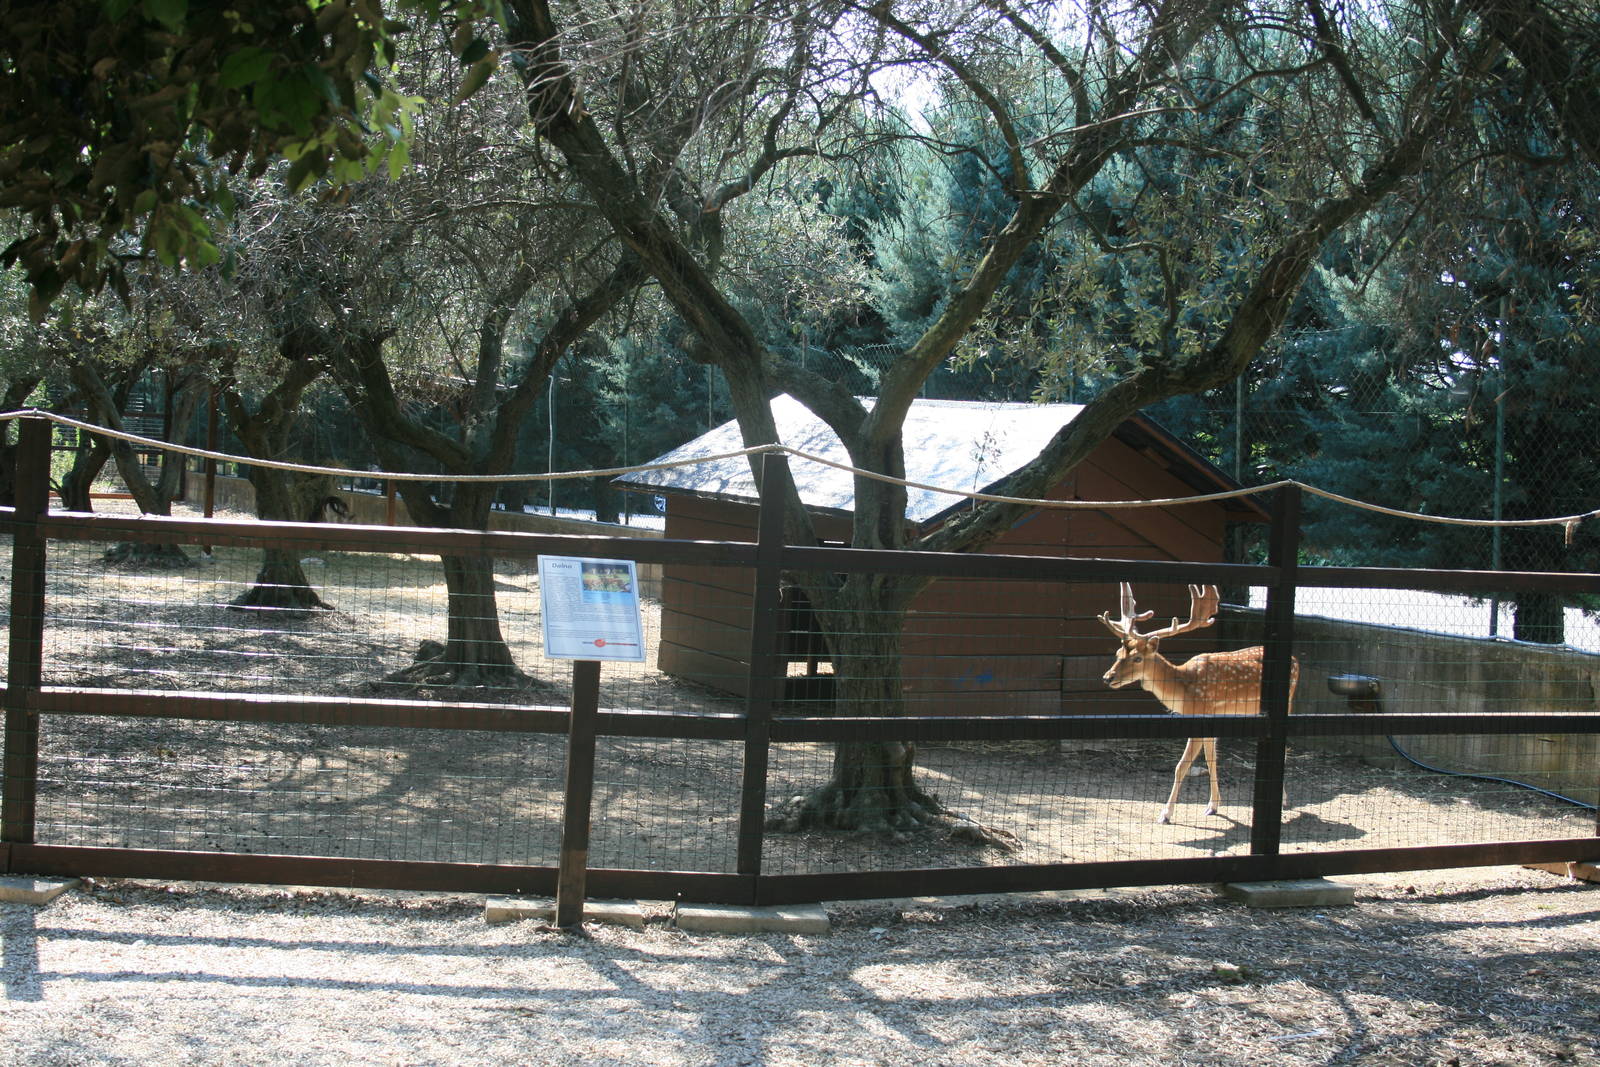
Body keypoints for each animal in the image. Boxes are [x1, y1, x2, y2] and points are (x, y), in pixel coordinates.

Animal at [1098, 583, 1298, 824]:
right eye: (1118, 653)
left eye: (1137, 658)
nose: (1107, 677)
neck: (1184, 689)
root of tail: (1296, 660)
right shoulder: (1212, 716)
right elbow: (1212, 758)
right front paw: (1213, 805)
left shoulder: (1200, 712)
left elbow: (1181, 766)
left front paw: (1165, 814)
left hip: (1288, 701)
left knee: (1286, 747)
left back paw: (1285, 800)